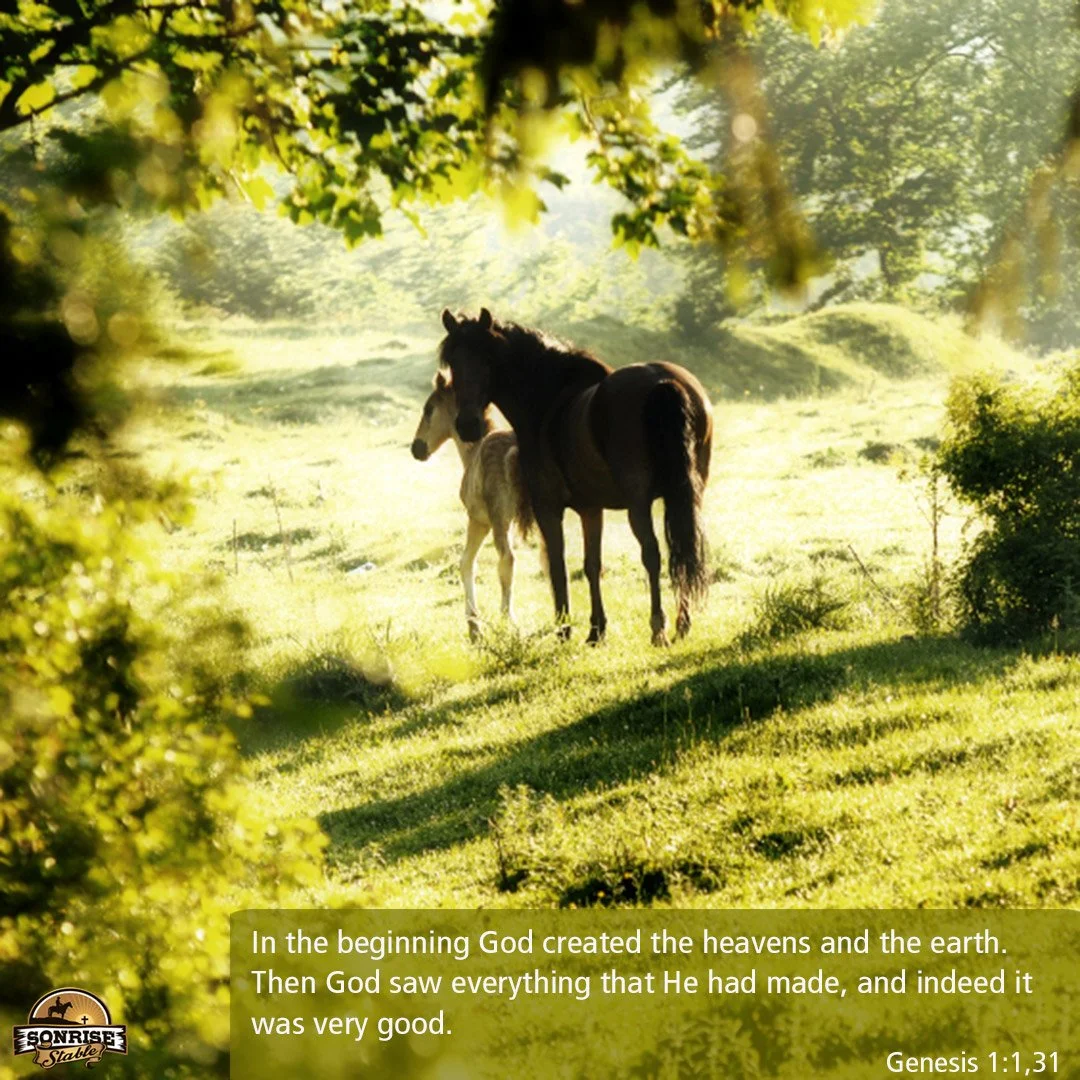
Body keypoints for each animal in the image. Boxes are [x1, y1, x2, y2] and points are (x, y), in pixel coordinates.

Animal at [411, 370, 537, 640]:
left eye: (429, 409)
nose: (416, 448)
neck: (472, 452)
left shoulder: (478, 520)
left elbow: (466, 562)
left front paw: (474, 626)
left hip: (500, 521)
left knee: (507, 560)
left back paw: (508, 620)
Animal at [437, 308, 712, 646]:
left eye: (487, 360)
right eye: (452, 362)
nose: (467, 426)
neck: (549, 402)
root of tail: (662, 382)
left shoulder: (548, 509)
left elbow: (558, 565)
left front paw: (564, 629)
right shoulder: (591, 509)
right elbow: (592, 565)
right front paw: (596, 631)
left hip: (639, 504)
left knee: (652, 553)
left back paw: (658, 629)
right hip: (685, 496)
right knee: (681, 550)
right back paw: (682, 624)